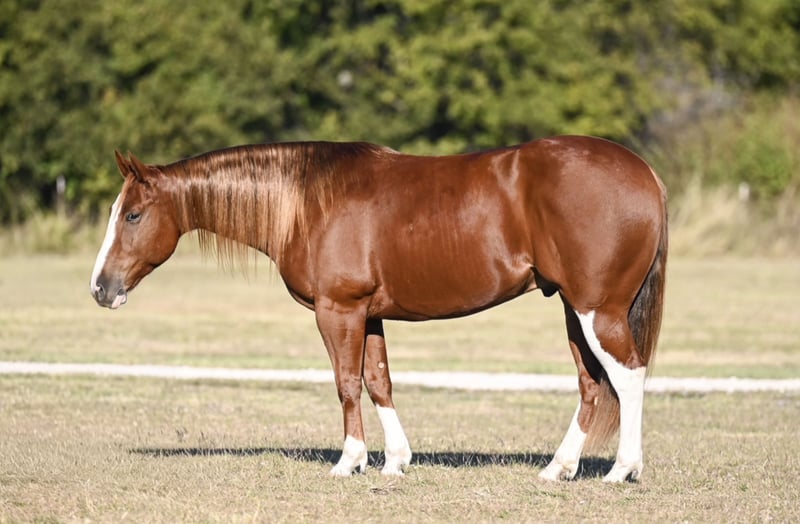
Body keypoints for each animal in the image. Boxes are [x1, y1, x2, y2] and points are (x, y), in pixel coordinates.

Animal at [90, 136, 667, 482]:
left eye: (133, 214)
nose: (100, 288)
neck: (307, 202)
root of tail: (645, 173)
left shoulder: (337, 310)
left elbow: (347, 383)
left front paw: (350, 461)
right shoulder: (368, 314)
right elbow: (378, 381)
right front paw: (395, 461)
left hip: (597, 311)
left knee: (629, 375)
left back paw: (622, 470)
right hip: (574, 310)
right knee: (592, 384)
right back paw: (558, 469)